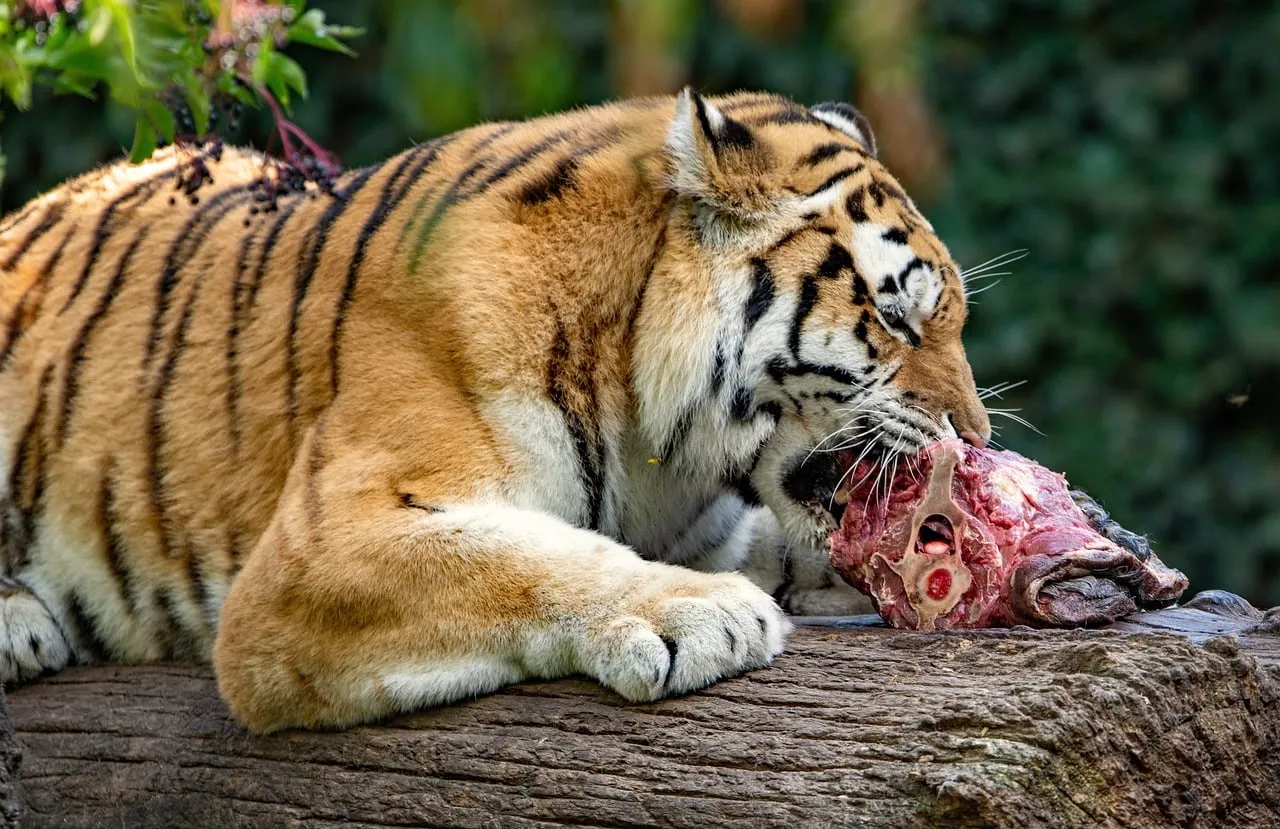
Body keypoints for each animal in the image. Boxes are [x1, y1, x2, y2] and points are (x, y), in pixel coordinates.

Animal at [0, 89, 991, 732]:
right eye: (897, 316)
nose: (975, 436)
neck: (655, 445)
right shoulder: (319, 546)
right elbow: (527, 558)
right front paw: (702, 612)